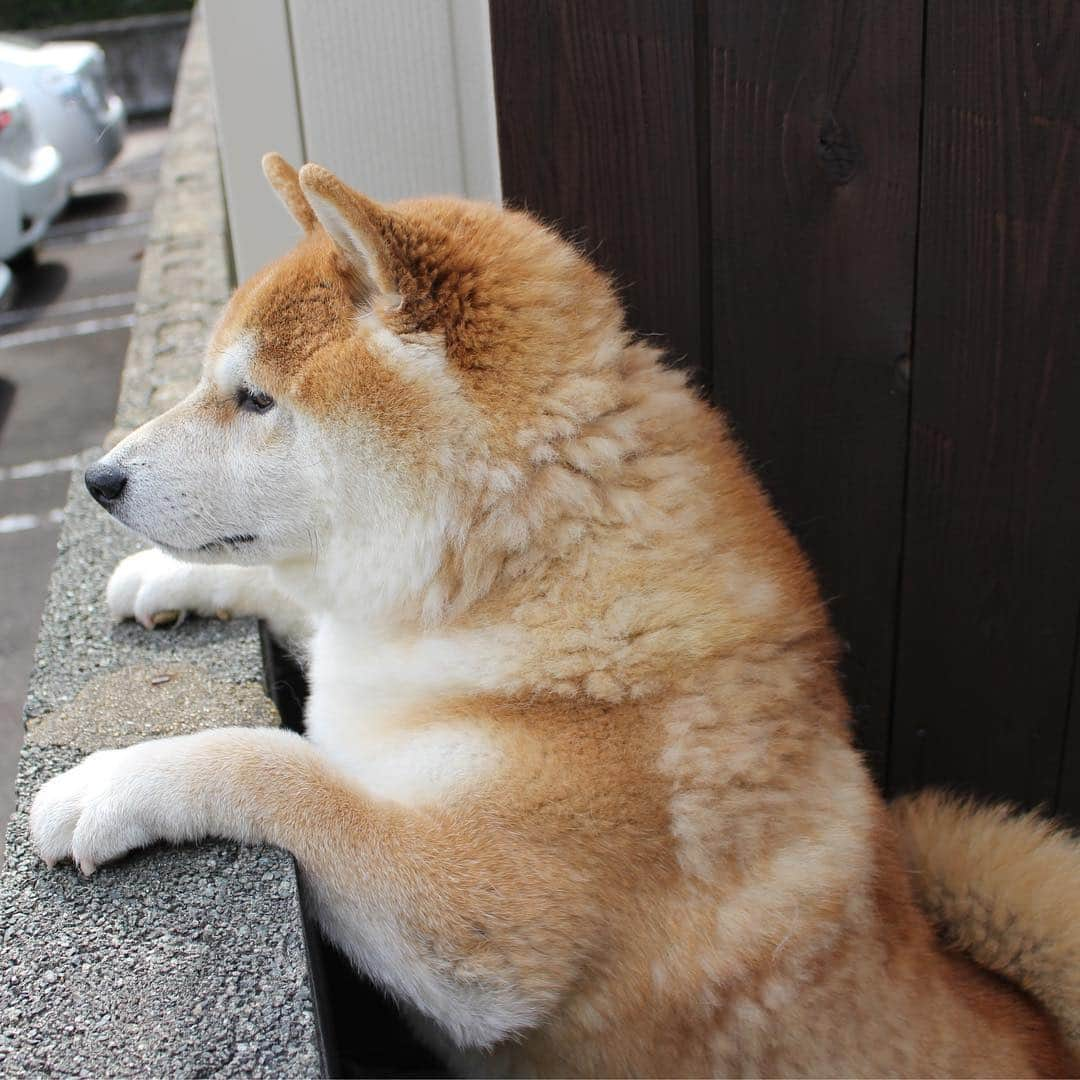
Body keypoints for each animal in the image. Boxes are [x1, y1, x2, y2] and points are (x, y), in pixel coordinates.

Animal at [29, 154, 1075, 1080]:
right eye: (215, 382)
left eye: (253, 398)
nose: (98, 480)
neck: (521, 562)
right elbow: (296, 610)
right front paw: (158, 579)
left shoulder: (488, 931)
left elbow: (282, 769)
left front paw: (114, 783)